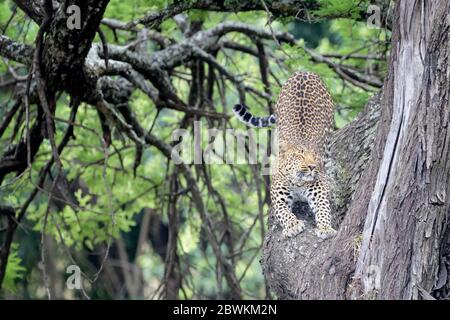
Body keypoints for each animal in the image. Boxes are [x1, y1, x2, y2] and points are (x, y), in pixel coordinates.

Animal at [234, 71, 336, 239]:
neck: (298, 181)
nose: (312, 166)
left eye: (315, 157)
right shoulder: (278, 196)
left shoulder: (319, 189)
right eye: (300, 156)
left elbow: (323, 209)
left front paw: (325, 228)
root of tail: (304, 71)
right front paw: (293, 225)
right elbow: (283, 213)